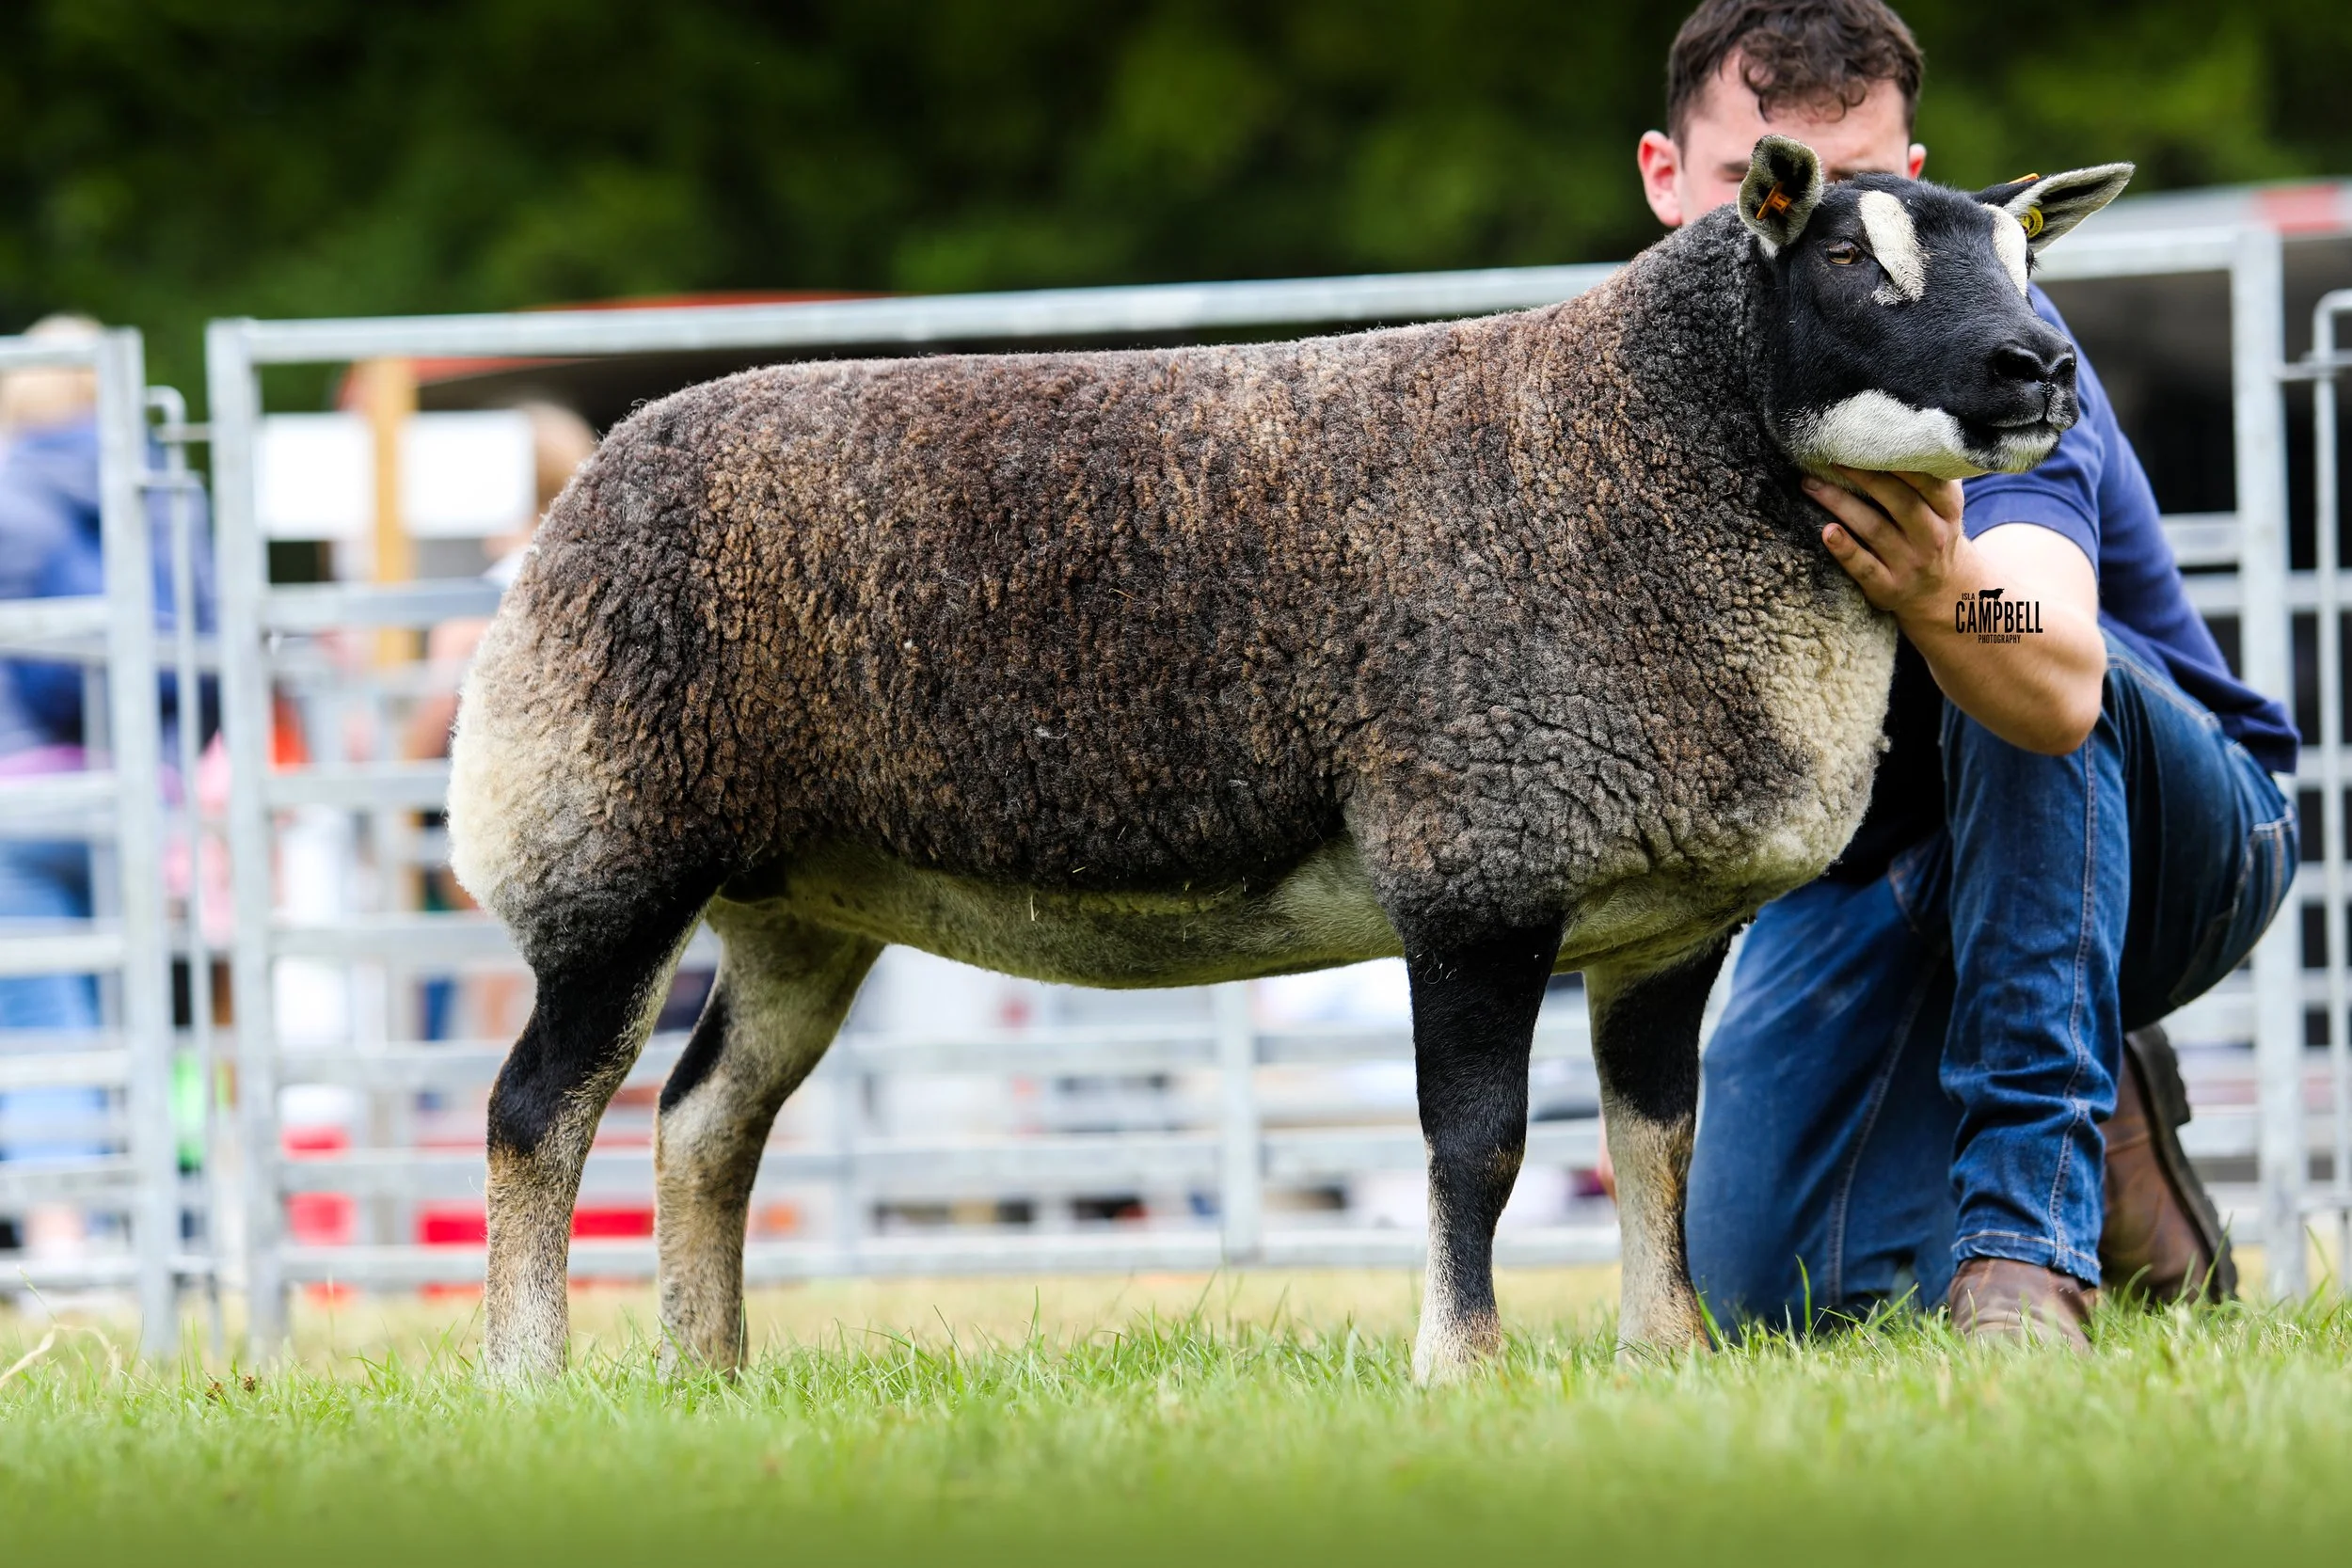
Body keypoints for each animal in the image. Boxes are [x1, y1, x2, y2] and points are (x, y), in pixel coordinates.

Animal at [448, 136, 2131, 1383]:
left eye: (2028, 255)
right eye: (1851, 255)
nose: (2039, 365)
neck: (1647, 452)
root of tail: (590, 479)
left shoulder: (1667, 920)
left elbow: (1659, 1148)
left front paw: (1670, 1360)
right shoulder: (1474, 863)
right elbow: (1480, 1146)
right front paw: (1461, 1368)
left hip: (795, 900)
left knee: (702, 1122)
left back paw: (707, 1372)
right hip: (609, 840)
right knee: (539, 1110)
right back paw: (530, 1377)